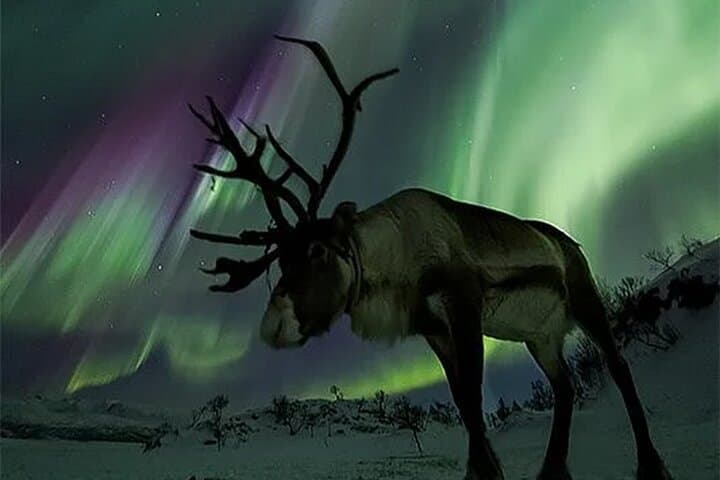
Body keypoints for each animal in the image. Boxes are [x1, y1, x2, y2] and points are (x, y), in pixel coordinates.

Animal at [189, 35, 673, 480]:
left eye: (318, 249)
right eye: (279, 261)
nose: (274, 326)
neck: (396, 263)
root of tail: (571, 243)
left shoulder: (464, 304)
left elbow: (474, 396)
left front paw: (485, 471)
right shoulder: (432, 328)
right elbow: (461, 401)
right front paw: (485, 469)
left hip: (586, 299)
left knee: (619, 367)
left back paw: (651, 464)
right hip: (540, 335)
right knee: (565, 386)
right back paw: (552, 471)